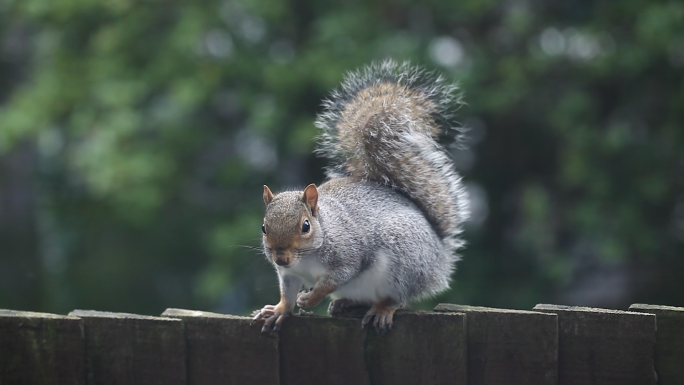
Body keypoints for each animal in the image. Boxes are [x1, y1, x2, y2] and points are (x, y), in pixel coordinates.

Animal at [251, 59, 470, 332]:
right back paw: (344, 303)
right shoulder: (289, 274)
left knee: (397, 296)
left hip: (405, 262)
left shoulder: (348, 255)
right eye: (263, 227)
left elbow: (335, 279)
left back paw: (382, 309)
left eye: (305, 226)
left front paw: (310, 298)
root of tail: (440, 258)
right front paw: (279, 310)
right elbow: (287, 293)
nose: (280, 258)